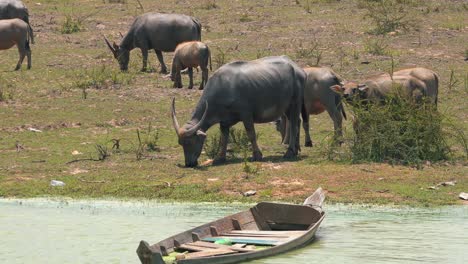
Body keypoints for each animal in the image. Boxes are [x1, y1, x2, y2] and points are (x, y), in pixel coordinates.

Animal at [170, 55, 306, 167]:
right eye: (181, 143)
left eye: (190, 142)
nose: (189, 164)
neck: (224, 87)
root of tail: (297, 69)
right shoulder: (224, 122)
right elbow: (224, 138)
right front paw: (220, 158)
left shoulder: (246, 115)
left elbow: (251, 134)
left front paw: (257, 155)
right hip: (287, 108)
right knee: (296, 123)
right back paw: (296, 149)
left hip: (294, 104)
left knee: (294, 125)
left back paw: (289, 152)